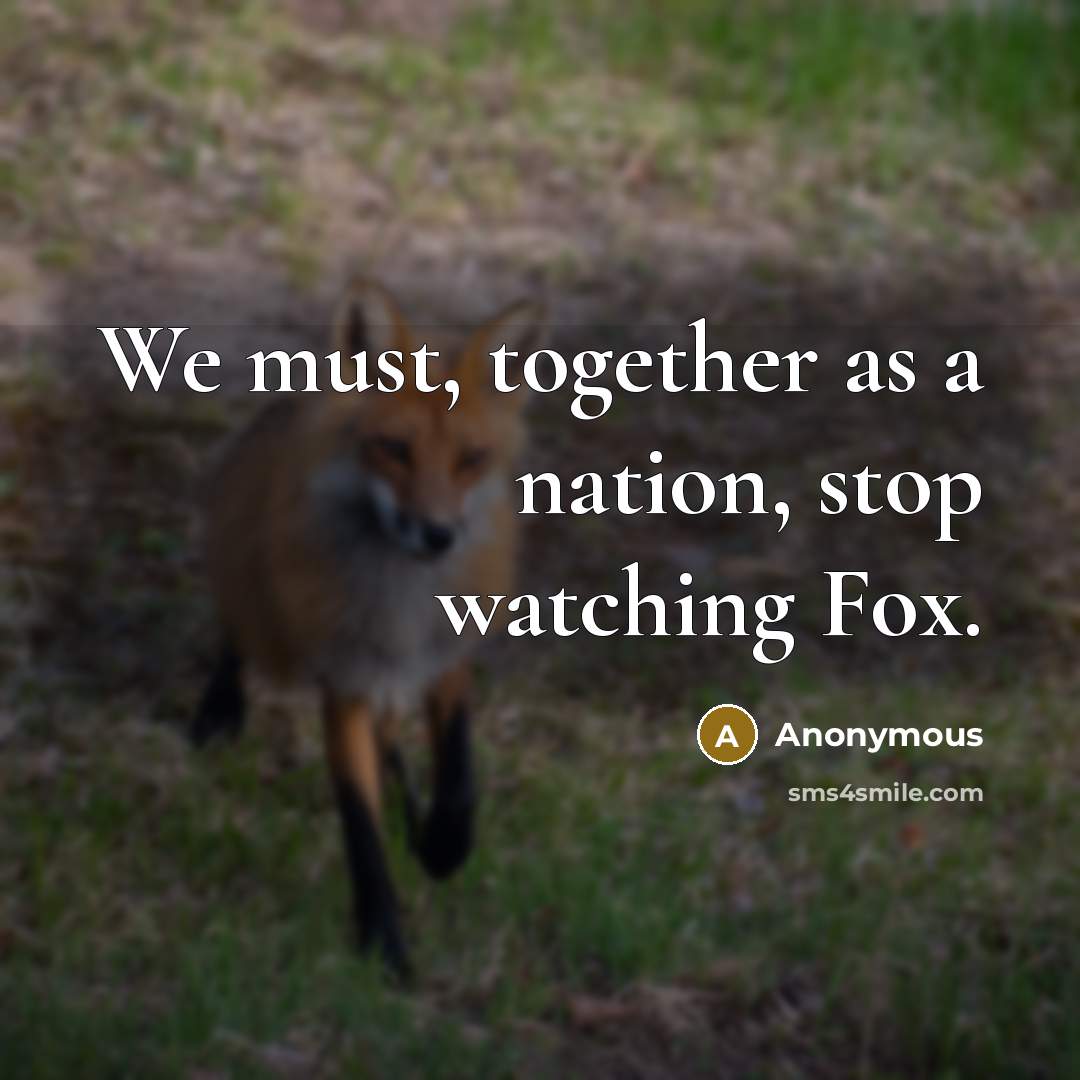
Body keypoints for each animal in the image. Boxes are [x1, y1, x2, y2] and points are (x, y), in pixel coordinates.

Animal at [193, 277, 541, 979]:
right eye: (395, 449)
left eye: (471, 459)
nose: (438, 535)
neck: (398, 602)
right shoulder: (346, 678)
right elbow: (360, 825)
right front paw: (382, 939)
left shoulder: (442, 655)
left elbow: (459, 773)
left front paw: (444, 844)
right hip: (270, 622)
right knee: (238, 631)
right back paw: (221, 704)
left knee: (394, 740)